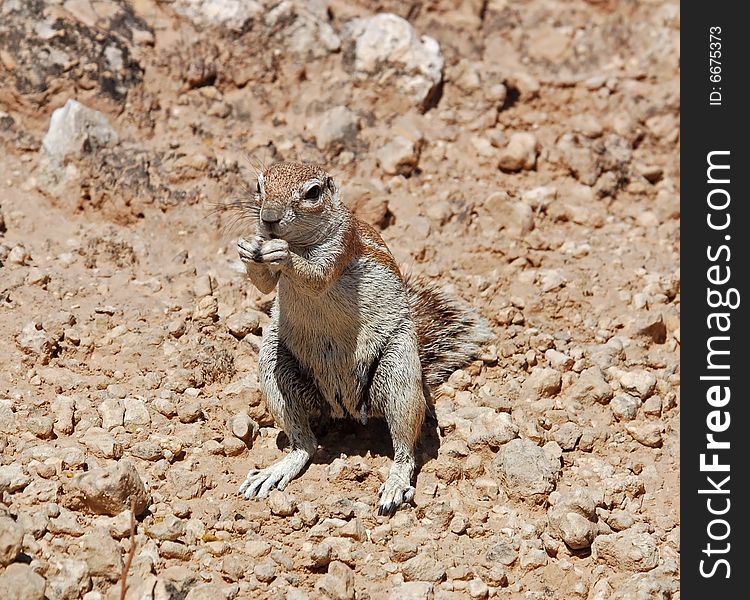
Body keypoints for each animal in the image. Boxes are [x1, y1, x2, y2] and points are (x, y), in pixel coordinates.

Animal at [235, 161, 494, 516]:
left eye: (313, 193)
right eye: (259, 187)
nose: (269, 217)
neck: (300, 242)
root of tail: (345, 408)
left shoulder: (343, 246)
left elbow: (316, 277)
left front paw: (283, 254)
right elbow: (263, 285)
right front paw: (249, 250)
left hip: (399, 375)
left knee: (405, 448)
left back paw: (395, 484)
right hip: (275, 370)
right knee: (305, 444)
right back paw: (277, 470)